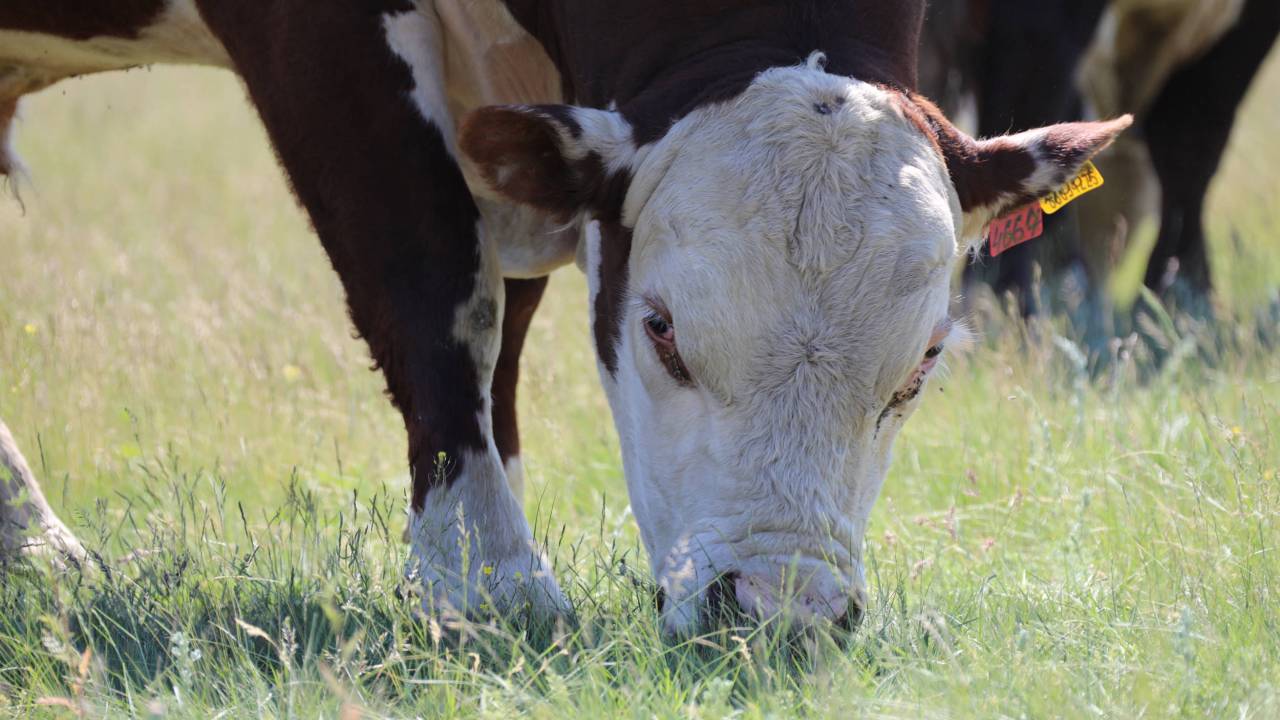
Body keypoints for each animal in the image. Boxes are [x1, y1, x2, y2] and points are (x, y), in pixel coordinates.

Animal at [0, 1, 1131, 632]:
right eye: (661, 330)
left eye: (922, 362)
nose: (779, 611)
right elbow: (432, 292)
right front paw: (486, 583)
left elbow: (501, 340)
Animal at [921, 0, 1280, 322]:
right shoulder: (1037, 19)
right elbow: (1028, 111)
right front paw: (1004, 306)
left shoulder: (1248, 26)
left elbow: (1192, 146)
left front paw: (1175, 298)